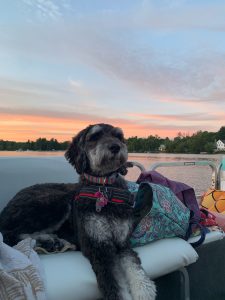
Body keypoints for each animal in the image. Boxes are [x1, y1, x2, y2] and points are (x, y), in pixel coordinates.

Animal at [0, 123, 156, 298]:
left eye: (118, 136)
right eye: (95, 136)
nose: (116, 147)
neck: (104, 188)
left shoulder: (123, 242)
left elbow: (133, 264)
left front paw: (144, 290)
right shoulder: (97, 246)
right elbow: (111, 283)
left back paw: (53, 241)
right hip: (55, 203)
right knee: (10, 234)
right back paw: (47, 241)